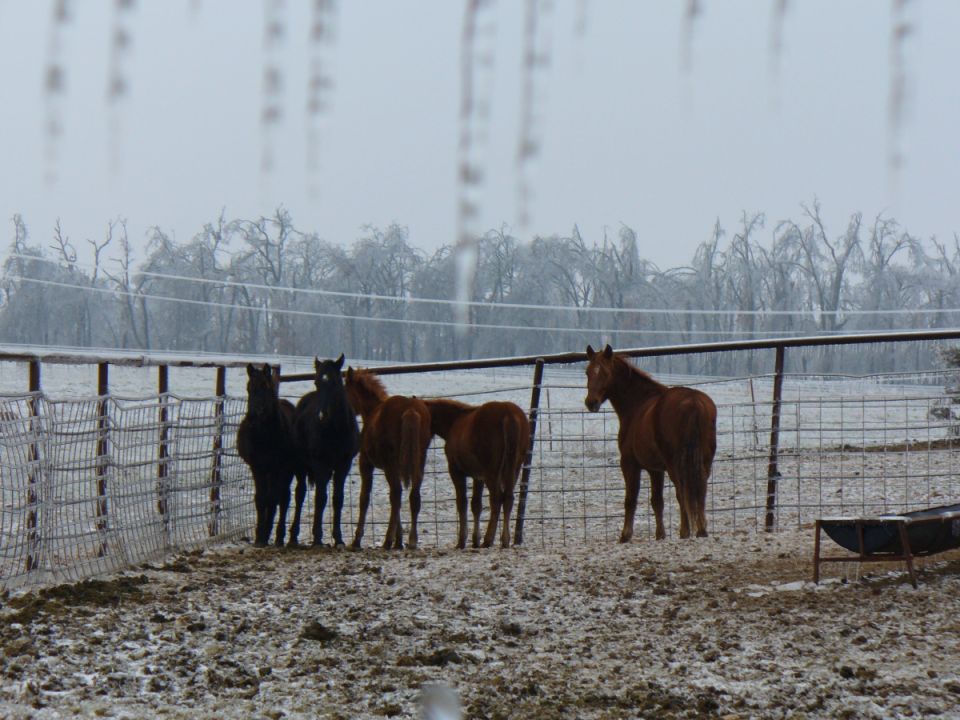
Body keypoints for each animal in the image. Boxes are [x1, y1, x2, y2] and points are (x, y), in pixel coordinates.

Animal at [236, 363, 303, 547]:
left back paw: (287, 537)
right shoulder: (258, 467)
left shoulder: (277, 468)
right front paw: (260, 537)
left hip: (295, 468)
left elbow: (272, 498)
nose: (254, 416)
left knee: (295, 495)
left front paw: (266, 534)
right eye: (249, 387)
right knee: (284, 497)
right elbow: (261, 499)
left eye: (266, 386)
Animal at [289, 354, 360, 547]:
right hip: (300, 466)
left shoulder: (344, 464)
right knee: (300, 494)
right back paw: (293, 536)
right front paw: (317, 538)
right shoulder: (319, 463)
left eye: (335, 382)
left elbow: (337, 499)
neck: (336, 429)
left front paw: (339, 538)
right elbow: (320, 498)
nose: (321, 415)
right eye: (316, 382)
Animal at [343, 368, 432, 550]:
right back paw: (412, 540)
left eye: (344, 390)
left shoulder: (366, 464)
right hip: (419, 461)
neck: (372, 412)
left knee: (397, 495)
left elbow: (364, 498)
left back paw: (387, 541)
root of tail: (410, 409)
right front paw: (399, 540)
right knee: (413, 496)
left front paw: (357, 539)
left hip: (391, 464)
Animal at [424, 398, 530, 549]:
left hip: (492, 473)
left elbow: (462, 503)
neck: (455, 422)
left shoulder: (456, 471)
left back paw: (488, 539)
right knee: (508, 498)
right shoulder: (478, 477)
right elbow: (476, 505)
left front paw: (462, 540)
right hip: (513, 469)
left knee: (496, 499)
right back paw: (505, 540)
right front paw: (475, 540)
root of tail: (507, 412)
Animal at [584, 344, 717, 542]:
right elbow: (657, 501)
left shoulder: (629, 464)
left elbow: (630, 499)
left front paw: (625, 535)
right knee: (700, 490)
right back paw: (701, 531)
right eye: (587, 372)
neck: (638, 404)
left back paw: (685, 532)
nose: (591, 403)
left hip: (675, 464)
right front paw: (660, 534)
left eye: (605, 373)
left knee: (682, 491)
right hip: (704, 461)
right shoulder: (655, 469)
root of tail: (693, 401)